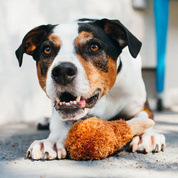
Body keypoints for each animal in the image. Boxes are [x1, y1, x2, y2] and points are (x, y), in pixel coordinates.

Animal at [15, 18, 165, 160]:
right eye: (47, 49)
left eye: (94, 47)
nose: (63, 71)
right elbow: (59, 124)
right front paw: (51, 141)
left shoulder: (141, 106)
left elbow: (145, 117)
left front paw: (146, 136)